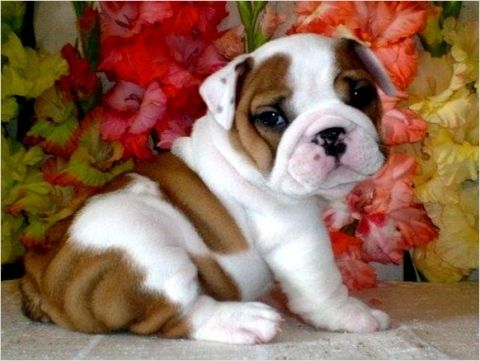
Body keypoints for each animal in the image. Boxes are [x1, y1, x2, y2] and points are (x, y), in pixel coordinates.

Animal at [19, 34, 394, 344]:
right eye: (271, 117)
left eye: (361, 94)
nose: (330, 133)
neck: (241, 154)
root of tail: (40, 277)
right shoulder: (298, 234)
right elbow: (322, 282)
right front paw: (352, 315)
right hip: (146, 247)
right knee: (181, 314)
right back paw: (244, 320)